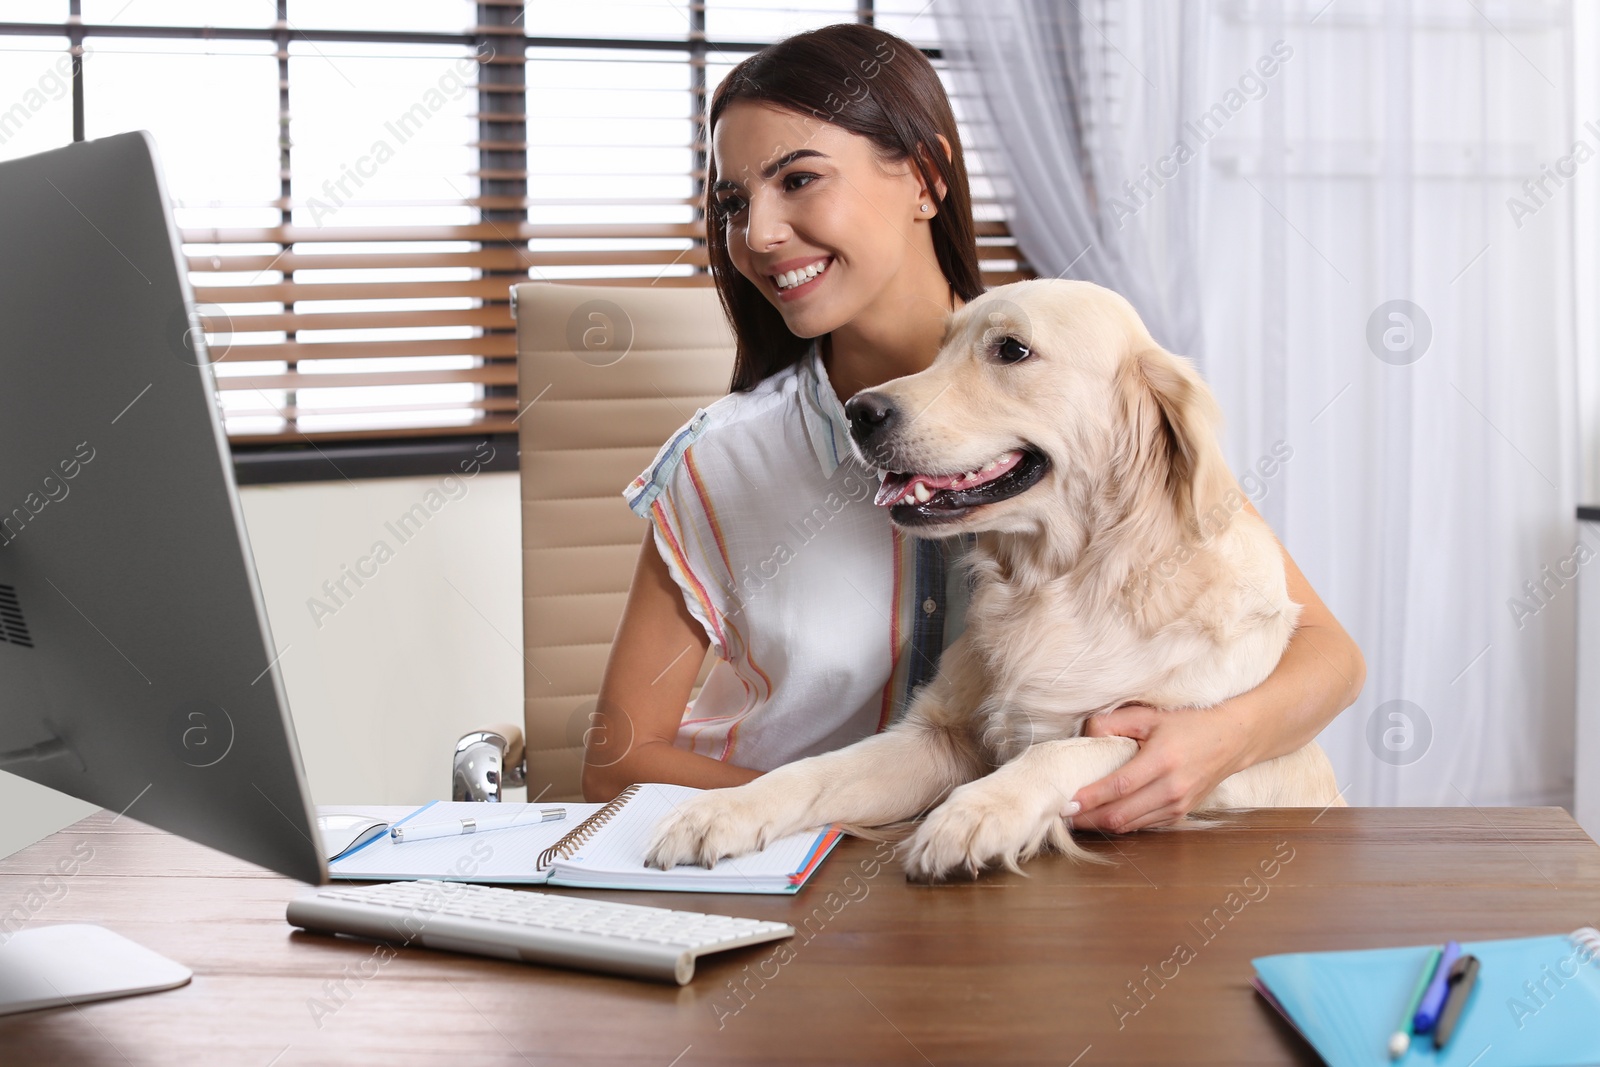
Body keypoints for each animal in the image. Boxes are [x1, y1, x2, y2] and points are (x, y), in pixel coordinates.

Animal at [643, 278, 1344, 883]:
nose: (859, 411)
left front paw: (974, 813)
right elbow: (811, 771)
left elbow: (1065, 751)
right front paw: (719, 810)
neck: (1068, 583)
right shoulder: (936, 738)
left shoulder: (1179, 747)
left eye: (1011, 350)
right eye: (940, 346)